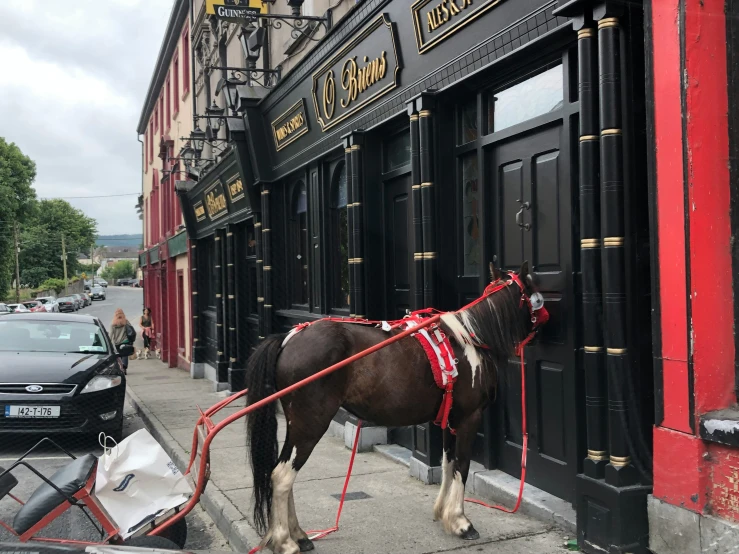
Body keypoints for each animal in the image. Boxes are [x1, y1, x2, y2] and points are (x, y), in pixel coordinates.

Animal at [246, 260, 548, 548]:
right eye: (536, 294)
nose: (547, 318)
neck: (470, 339)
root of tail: (288, 339)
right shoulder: (468, 418)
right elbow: (462, 465)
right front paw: (461, 522)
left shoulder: (450, 419)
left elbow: (447, 463)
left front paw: (443, 514)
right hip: (310, 422)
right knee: (283, 476)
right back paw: (285, 540)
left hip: (298, 423)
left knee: (283, 471)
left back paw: (298, 535)